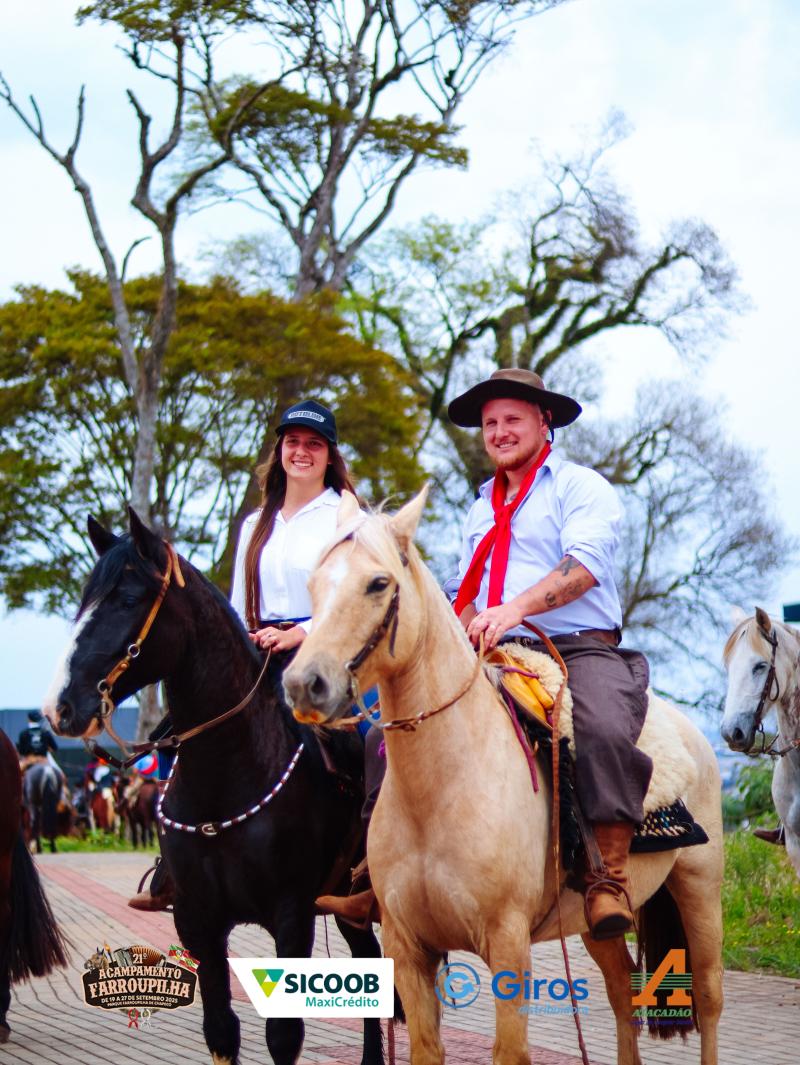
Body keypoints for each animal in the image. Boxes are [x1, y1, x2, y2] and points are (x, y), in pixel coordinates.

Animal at [43, 509, 385, 1065]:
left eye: (127, 600)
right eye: (84, 601)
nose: (60, 707)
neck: (229, 774)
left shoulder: (291, 916)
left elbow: (283, 1036)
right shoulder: (197, 919)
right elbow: (221, 1030)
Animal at [283, 489, 725, 1065]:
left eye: (378, 583)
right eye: (315, 583)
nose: (303, 684)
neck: (443, 789)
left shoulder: (508, 944)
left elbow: (509, 1050)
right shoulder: (407, 947)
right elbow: (426, 1047)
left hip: (700, 886)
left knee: (710, 998)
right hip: (595, 924)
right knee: (621, 991)